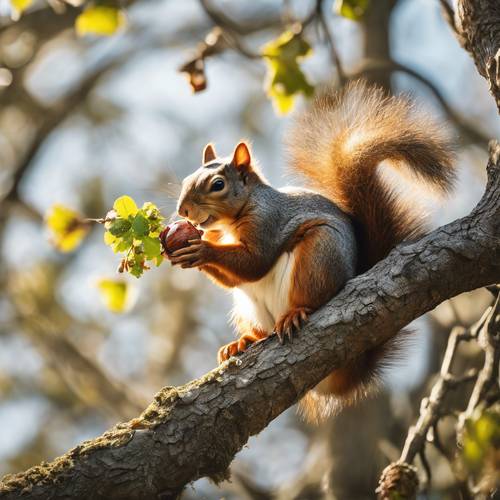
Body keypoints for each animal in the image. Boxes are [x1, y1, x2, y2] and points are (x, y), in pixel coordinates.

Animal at [169, 81, 458, 422]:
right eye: (186, 179)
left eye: (217, 185)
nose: (183, 210)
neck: (229, 223)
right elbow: (236, 276)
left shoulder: (268, 222)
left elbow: (254, 263)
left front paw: (201, 249)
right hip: (247, 307)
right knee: (260, 330)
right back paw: (242, 342)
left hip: (318, 256)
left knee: (311, 297)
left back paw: (295, 314)